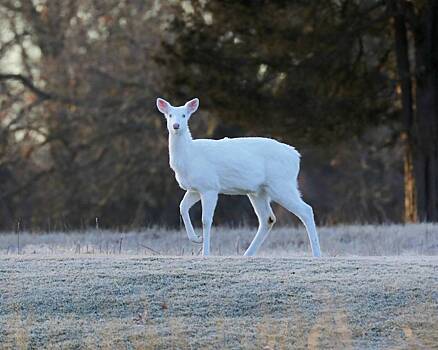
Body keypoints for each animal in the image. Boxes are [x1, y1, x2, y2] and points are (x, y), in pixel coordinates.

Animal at [156, 97, 320, 256]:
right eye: (169, 115)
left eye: (184, 115)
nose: (176, 125)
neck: (188, 157)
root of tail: (296, 156)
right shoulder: (195, 188)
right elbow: (182, 207)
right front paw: (196, 238)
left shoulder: (210, 186)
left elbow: (206, 220)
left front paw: (205, 253)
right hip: (259, 191)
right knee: (268, 218)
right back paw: (247, 254)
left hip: (281, 184)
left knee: (306, 210)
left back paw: (316, 254)